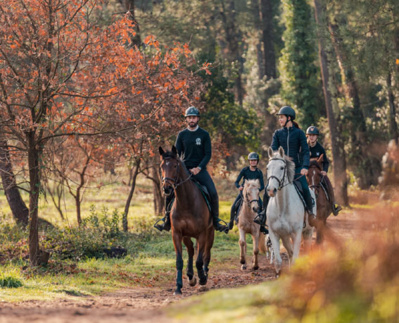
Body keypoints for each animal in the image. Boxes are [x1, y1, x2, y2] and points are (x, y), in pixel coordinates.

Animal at [159, 147, 216, 296]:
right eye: (161, 166)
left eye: (175, 165)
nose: (167, 188)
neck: (186, 202)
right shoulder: (177, 234)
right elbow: (179, 261)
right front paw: (178, 287)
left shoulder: (202, 234)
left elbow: (200, 260)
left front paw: (202, 278)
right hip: (186, 236)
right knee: (190, 250)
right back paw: (191, 277)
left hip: (210, 233)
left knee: (206, 254)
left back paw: (204, 275)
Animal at [266, 148, 316, 278]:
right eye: (267, 167)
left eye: (282, 167)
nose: (271, 190)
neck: (282, 207)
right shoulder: (274, 233)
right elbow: (279, 261)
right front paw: (278, 275)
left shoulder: (296, 233)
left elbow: (295, 258)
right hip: (285, 237)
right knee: (290, 253)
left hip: (308, 232)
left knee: (306, 252)